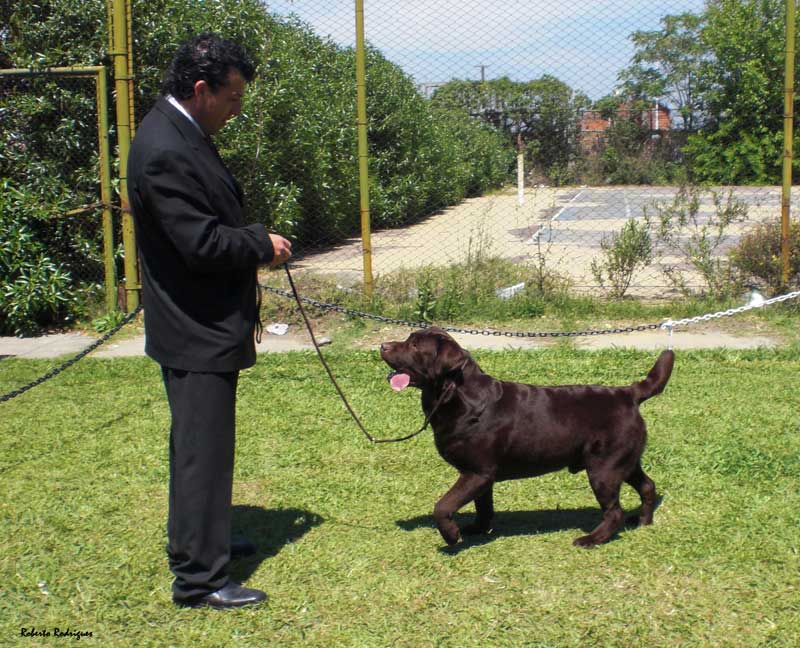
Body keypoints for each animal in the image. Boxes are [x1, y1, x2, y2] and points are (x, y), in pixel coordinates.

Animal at [380, 327, 674, 548]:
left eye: (414, 346)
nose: (383, 345)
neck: (456, 394)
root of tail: (629, 394)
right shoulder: (481, 475)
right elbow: (483, 505)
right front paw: (479, 529)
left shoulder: (476, 472)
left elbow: (442, 506)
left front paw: (452, 536)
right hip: (624, 460)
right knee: (647, 486)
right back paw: (643, 521)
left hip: (604, 469)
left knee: (614, 510)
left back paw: (591, 539)